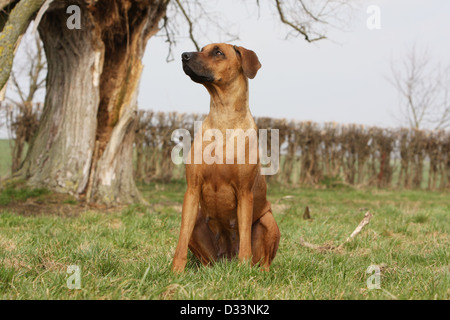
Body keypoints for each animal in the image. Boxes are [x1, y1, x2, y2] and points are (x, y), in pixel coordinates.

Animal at [171, 42, 280, 272]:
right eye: (202, 48)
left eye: (218, 52)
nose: (184, 55)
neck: (223, 117)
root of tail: (226, 257)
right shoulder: (192, 189)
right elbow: (181, 238)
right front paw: (176, 271)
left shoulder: (245, 193)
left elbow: (245, 237)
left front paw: (243, 270)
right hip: (199, 222)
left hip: (268, 220)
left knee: (264, 259)